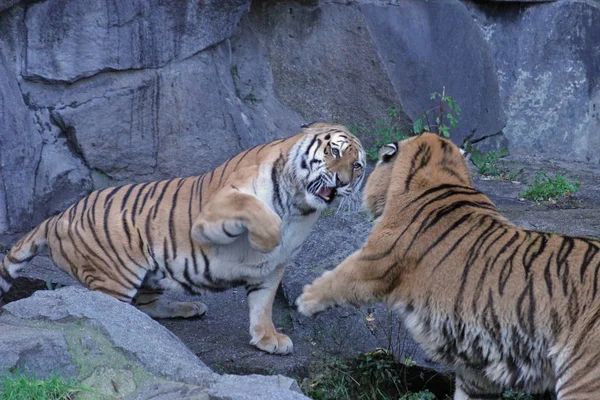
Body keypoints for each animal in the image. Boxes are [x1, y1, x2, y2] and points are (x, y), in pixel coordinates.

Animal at [1, 122, 366, 354]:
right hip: (114, 275)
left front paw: (268, 338)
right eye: (334, 152)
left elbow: (262, 303)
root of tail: (57, 217)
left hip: (148, 275)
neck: (299, 206)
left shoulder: (274, 268)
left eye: (358, 165)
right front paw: (266, 237)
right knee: (116, 313)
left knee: (145, 308)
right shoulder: (216, 210)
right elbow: (256, 212)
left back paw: (187, 308)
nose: (344, 182)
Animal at [298, 133, 600, 398]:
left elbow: (338, 278)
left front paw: (305, 301)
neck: (439, 174)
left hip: (583, 378)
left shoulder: (375, 261)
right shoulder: (477, 373)